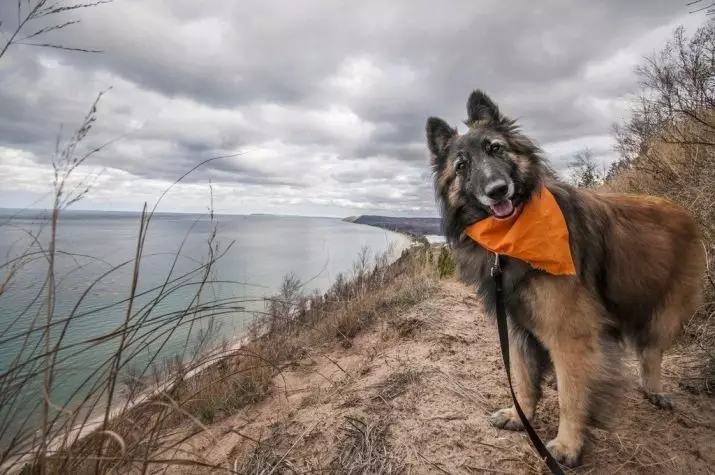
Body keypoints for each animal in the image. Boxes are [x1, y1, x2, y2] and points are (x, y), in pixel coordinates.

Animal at [426, 90, 704, 468]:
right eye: (461, 166)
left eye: (495, 149)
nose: (498, 190)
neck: (513, 237)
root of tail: (682, 210)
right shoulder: (515, 326)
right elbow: (523, 378)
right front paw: (520, 416)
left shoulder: (568, 333)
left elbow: (571, 396)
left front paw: (568, 445)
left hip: (665, 312)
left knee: (651, 352)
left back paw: (655, 390)